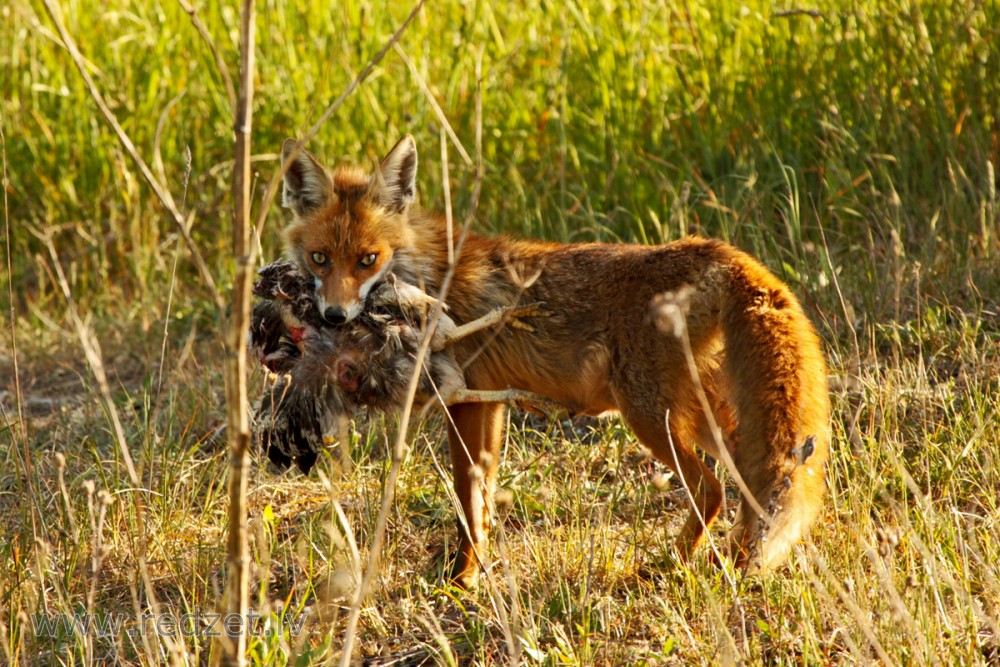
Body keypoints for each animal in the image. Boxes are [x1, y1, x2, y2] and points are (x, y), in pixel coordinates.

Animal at [280, 138, 828, 588]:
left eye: (367, 259)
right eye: (320, 258)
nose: (334, 315)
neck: (427, 274)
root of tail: (717, 251)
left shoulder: (462, 399)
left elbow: (465, 497)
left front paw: (460, 580)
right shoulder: (487, 403)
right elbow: (482, 497)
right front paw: (476, 570)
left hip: (652, 417)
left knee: (710, 491)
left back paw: (664, 568)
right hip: (712, 422)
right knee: (750, 488)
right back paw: (722, 560)